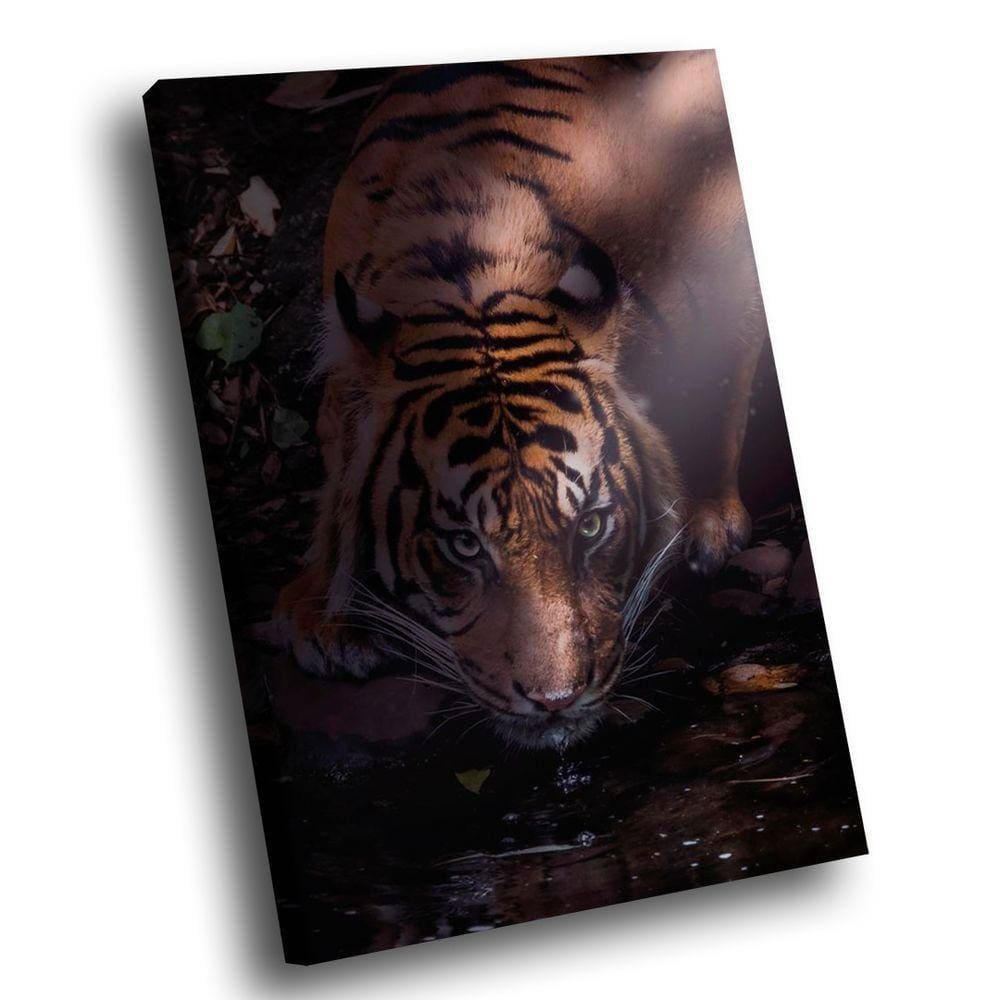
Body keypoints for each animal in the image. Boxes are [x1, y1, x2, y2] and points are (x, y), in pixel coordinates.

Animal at [275, 50, 767, 749]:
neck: (471, 274)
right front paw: (327, 615)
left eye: (591, 526)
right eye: (463, 546)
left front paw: (702, 518)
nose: (556, 700)